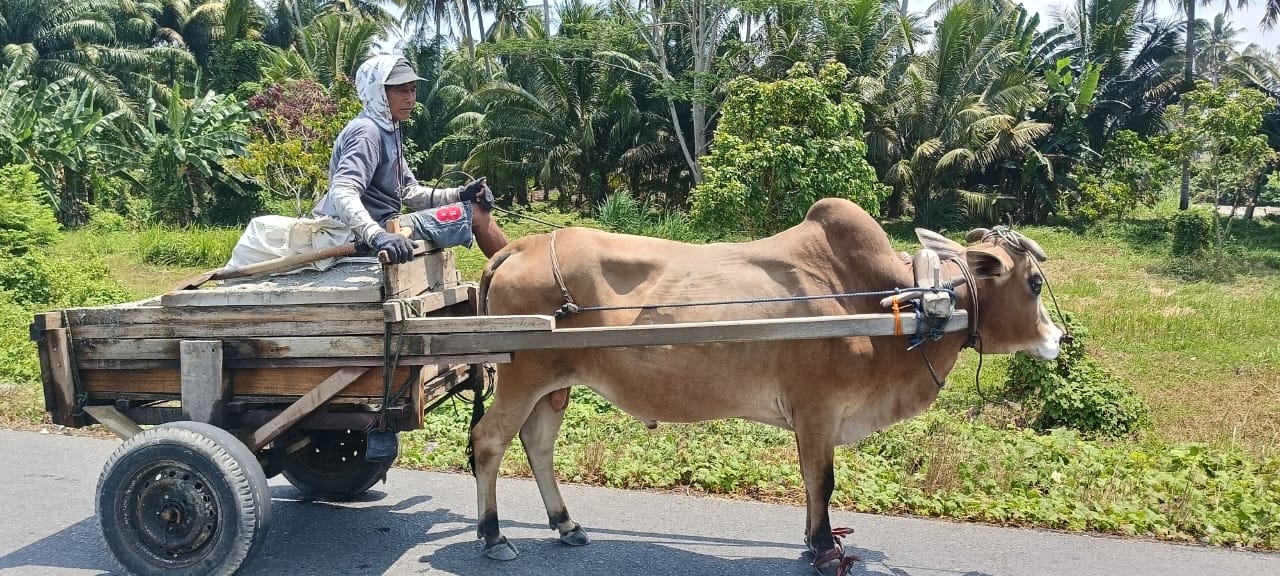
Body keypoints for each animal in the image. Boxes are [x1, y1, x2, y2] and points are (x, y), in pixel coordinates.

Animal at [468, 195, 1059, 573]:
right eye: (1033, 283)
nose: (1060, 337)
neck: (896, 301)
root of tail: (519, 247)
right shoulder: (819, 410)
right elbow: (822, 481)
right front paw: (823, 549)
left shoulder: (814, 418)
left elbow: (811, 482)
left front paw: (812, 541)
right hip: (523, 377)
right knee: (489, 441)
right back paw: (494, 536)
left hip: (555, 384)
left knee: (537, 445)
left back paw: (566, 524)